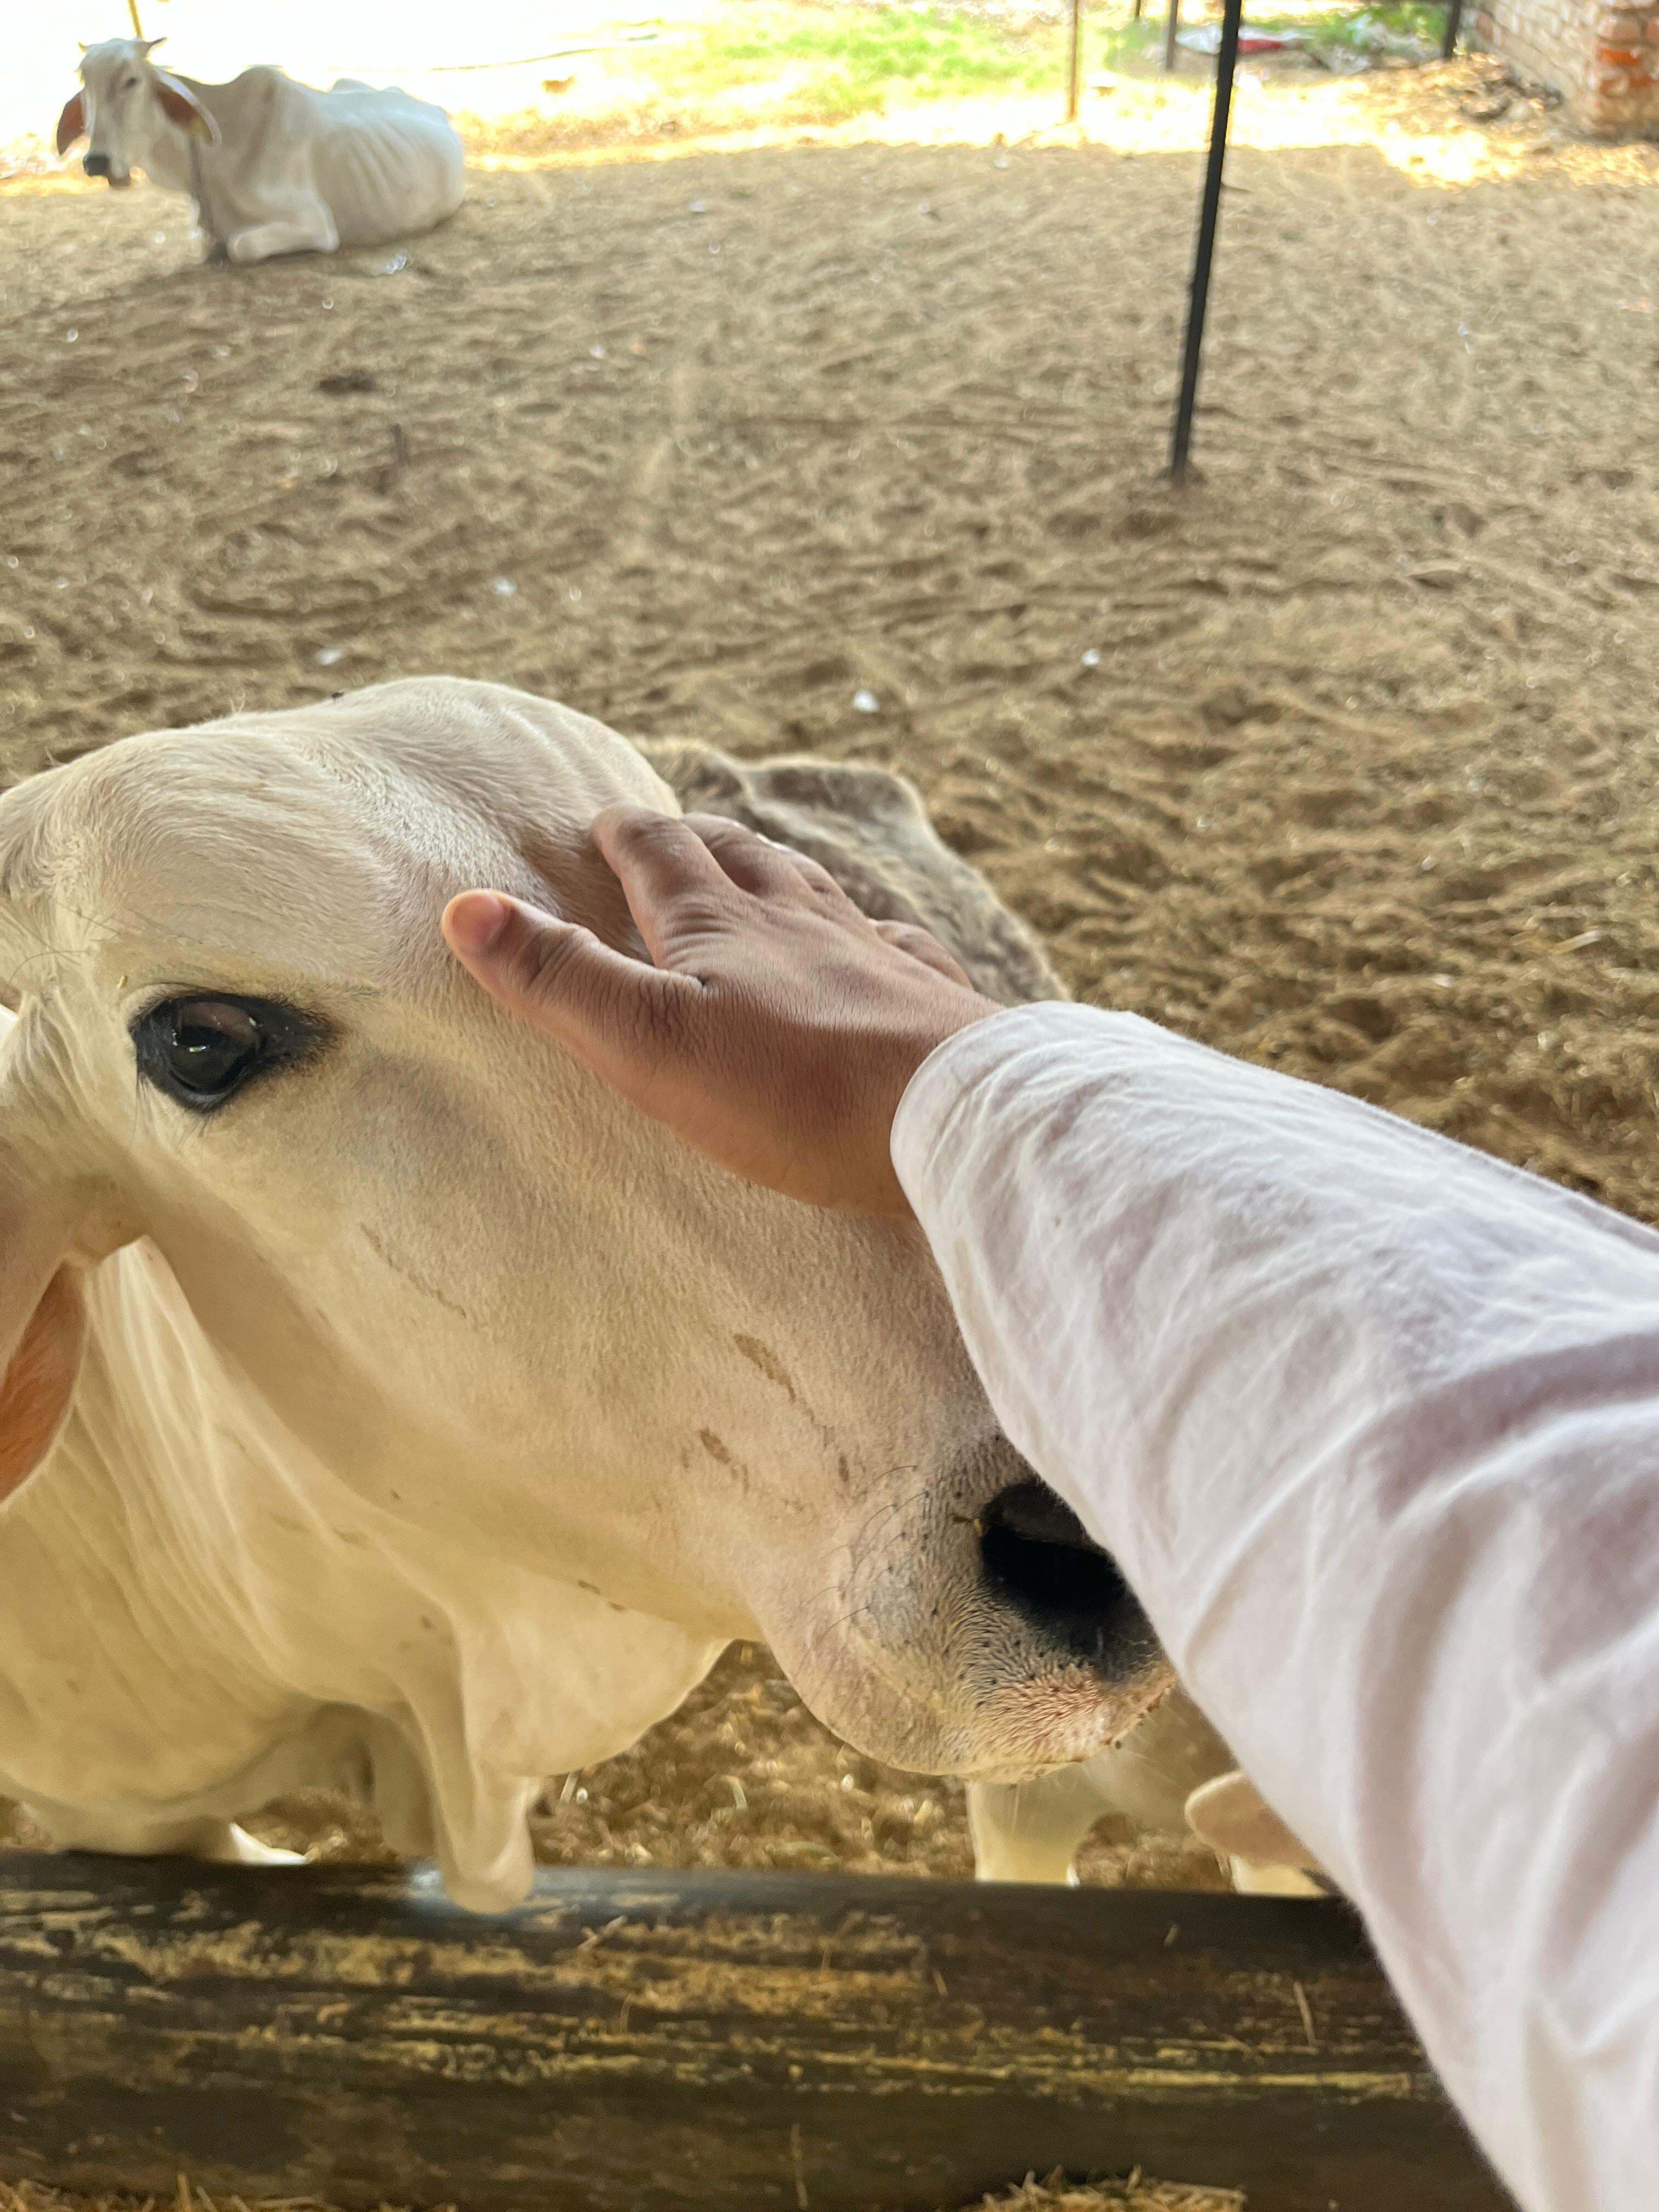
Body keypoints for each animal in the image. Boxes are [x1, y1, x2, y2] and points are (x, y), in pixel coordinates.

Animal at [55, 39, 465, 265]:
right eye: (84, 81)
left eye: (132, 80)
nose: (96, 161)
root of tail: (436, 110)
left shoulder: (315, 223)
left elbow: (241, 246)